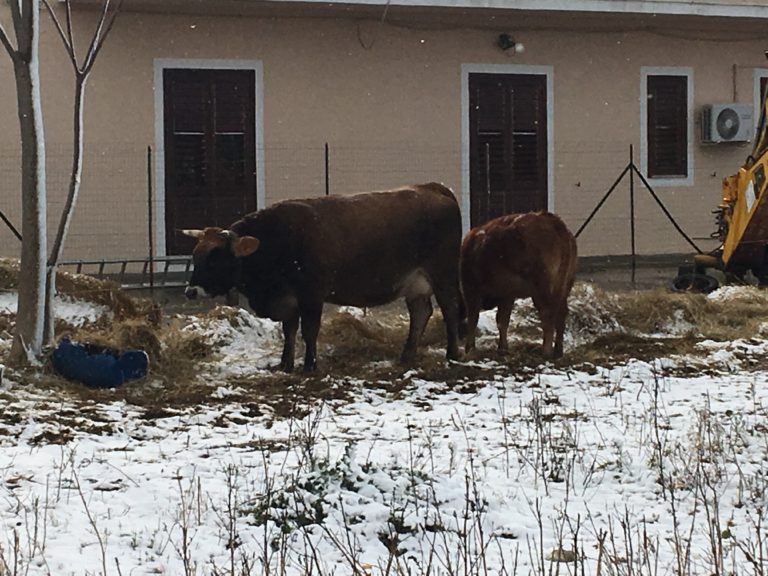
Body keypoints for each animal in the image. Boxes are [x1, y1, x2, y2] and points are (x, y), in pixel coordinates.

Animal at [184, 183, 462, 374]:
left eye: (215, 258)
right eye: (196, 255)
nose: (191, 291)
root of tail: (431, 188)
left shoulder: (311, 295)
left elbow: (309, 331)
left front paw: (309, 366)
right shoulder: (289, 300)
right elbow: (289, 331)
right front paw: (285, 364)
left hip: (444, 275)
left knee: (449, 309)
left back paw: (453, 354)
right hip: (416, 284)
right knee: (421, 314)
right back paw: (407, 355)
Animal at [456, 210, 576, 356]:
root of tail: (554, 222)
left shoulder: (472, 290)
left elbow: (474, 318)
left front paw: (470, 348)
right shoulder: (507, 295)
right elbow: (502, 320)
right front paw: (502, 348)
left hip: (542, 290)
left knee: (548, 314)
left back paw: (546, 351)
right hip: (563, 287)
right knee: (560, 314)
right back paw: (558, 350)